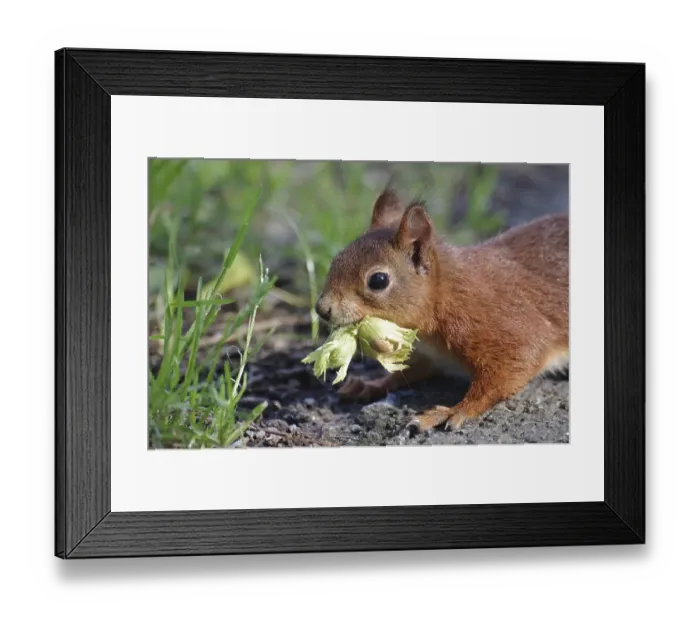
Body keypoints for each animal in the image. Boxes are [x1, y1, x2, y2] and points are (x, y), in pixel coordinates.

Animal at [314, 187, 569, 434]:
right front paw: (372, 384)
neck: (444, 297)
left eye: (378, 280)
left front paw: (454, 411)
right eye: (336, 259)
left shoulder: (505, 328)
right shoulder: (430, 355)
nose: (321, 309)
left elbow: (509, 371)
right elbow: (406, 372)